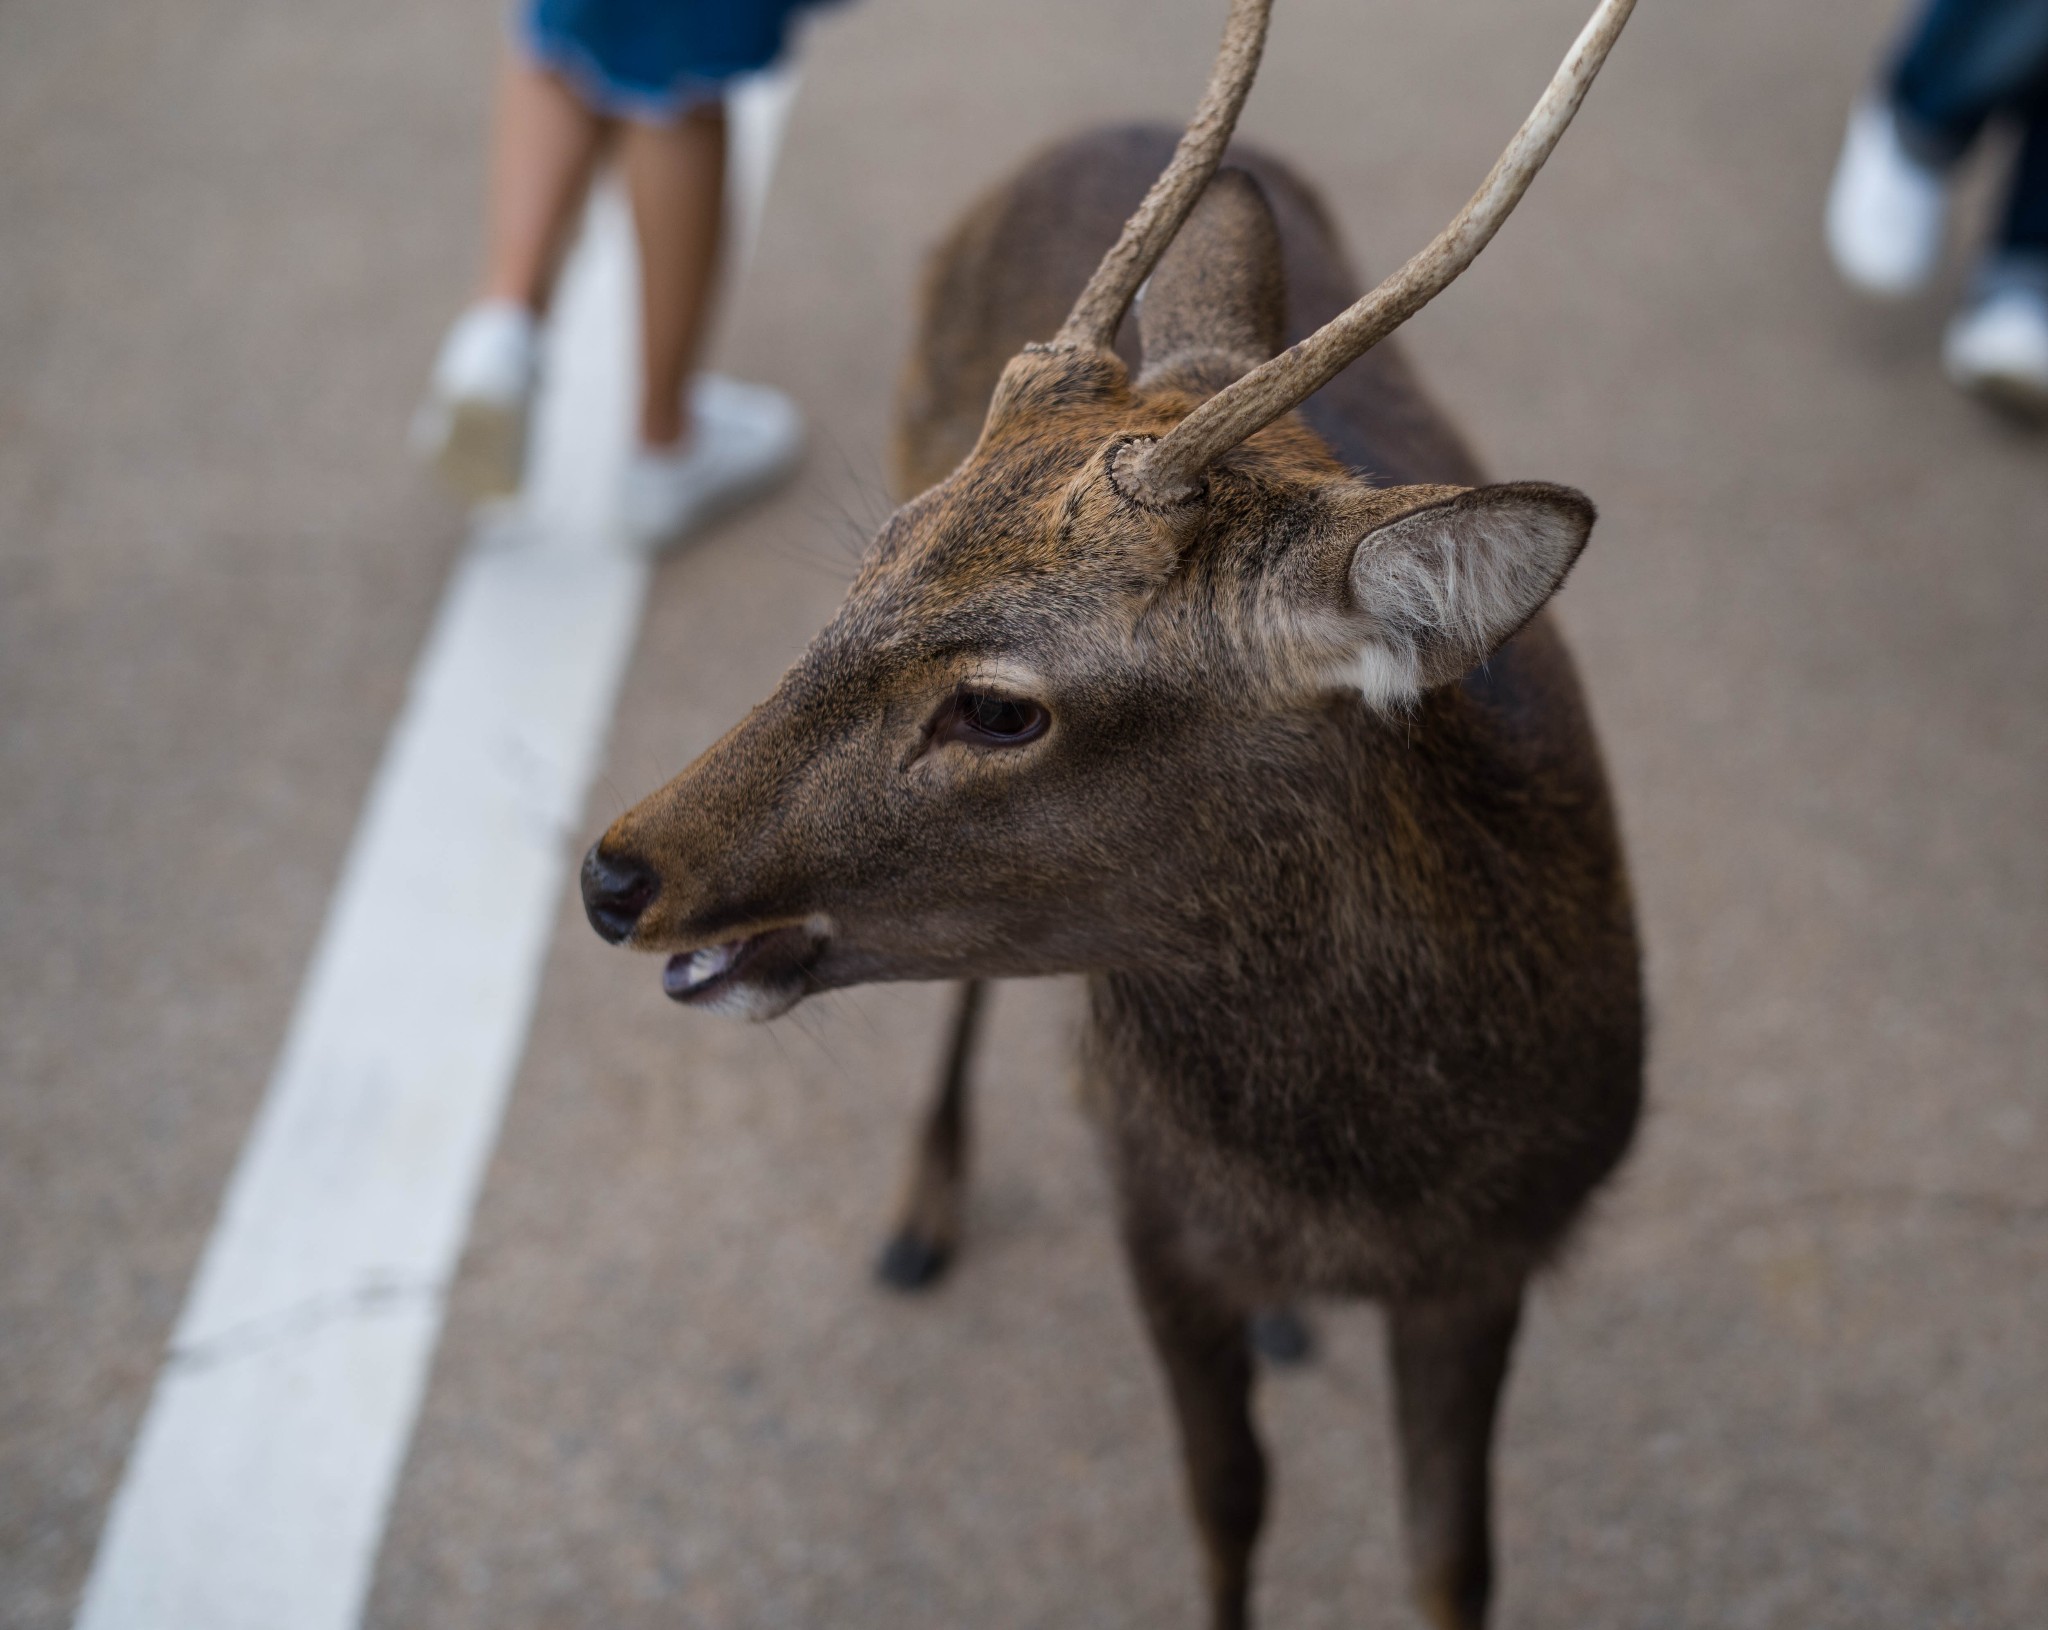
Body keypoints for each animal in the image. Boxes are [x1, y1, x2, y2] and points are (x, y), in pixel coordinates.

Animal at [585, 6, 1638, 1621]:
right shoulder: (1151, 1218)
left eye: (1000, 707)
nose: (615, 874)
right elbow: (1226, 1501)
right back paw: (922, 1209)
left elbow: (1451, 1559)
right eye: (876, 555)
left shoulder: (1495, 1260)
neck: (1363, 1178)